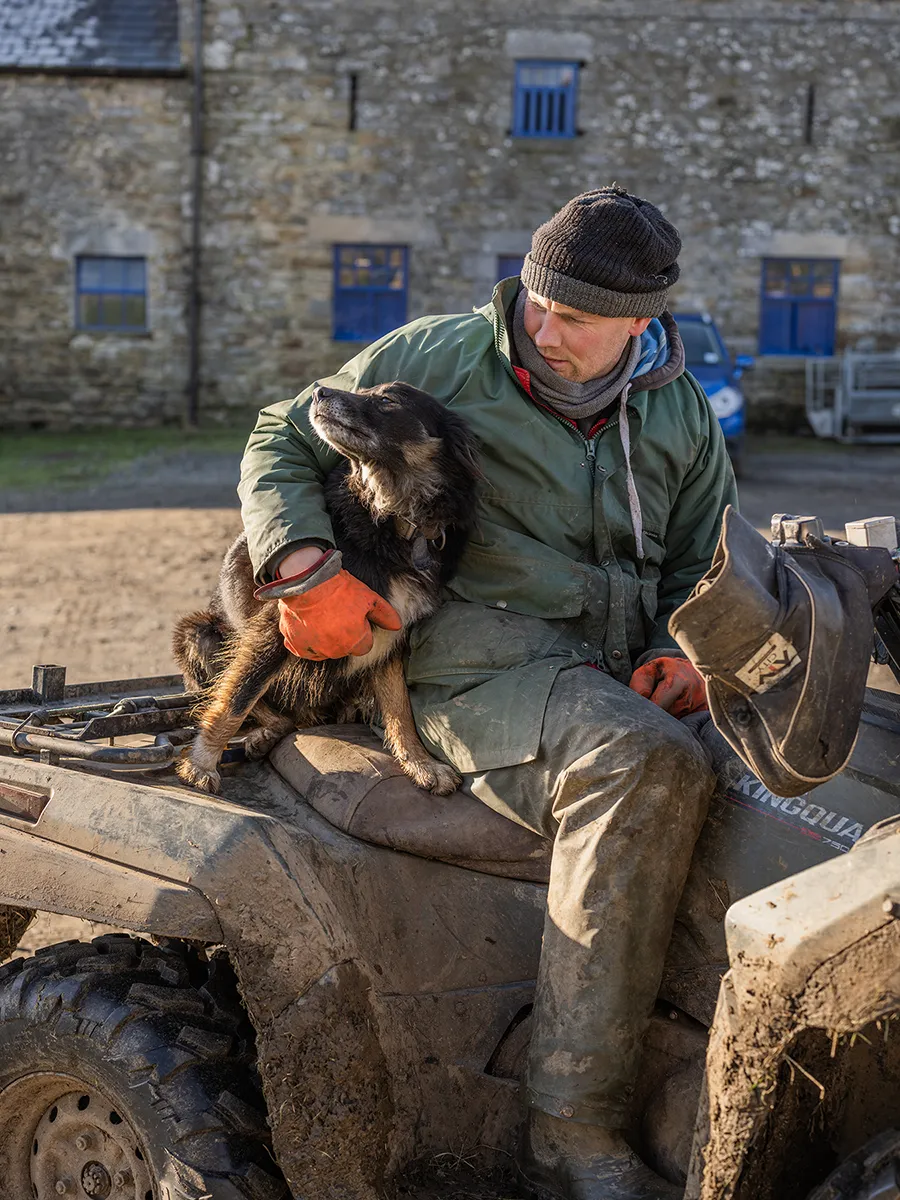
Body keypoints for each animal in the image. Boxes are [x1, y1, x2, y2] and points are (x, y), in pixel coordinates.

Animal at [177, 384, 487, 796]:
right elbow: (236, 698)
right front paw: (201, 763)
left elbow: (400, 707)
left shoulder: (392, 634)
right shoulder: (279, 627)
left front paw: (421, 764)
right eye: (363, 389)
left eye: (387, 400)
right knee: (251, 701)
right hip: (198, 633)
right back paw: (262, 734)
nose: (319, 391)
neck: (394, 517)